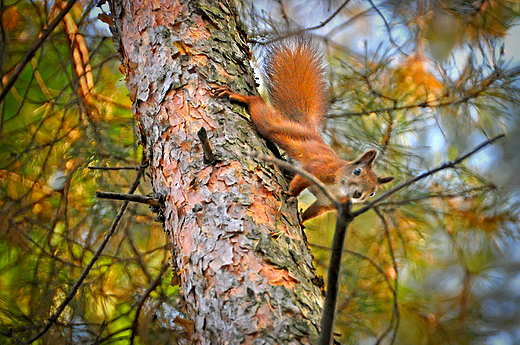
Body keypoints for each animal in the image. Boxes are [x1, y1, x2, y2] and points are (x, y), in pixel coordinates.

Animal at [213, 34, 392, 220]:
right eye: (357, 172)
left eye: (372, 192)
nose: (358, 194)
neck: (337, 187)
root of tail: (308, 128)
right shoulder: (319, 169)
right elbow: (301, 181)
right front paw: (292, 195)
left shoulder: (328, 203)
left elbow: (313, 211)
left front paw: (302, 222)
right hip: (282, 129)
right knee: (262, 113)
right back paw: (241, 97)